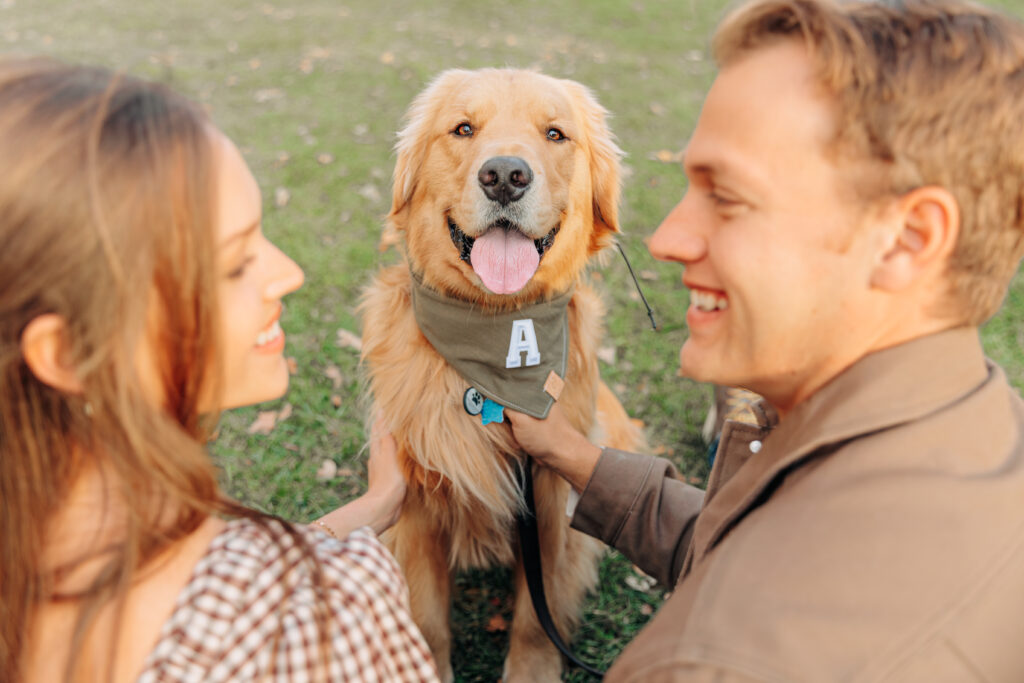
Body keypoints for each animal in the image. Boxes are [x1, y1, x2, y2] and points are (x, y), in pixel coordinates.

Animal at [360, 66, 643, 679]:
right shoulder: (415, 501)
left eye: (555, 134)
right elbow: (426, 614)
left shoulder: (552, 492)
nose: (506, 177)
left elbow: (538, 614)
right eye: (463, 129)